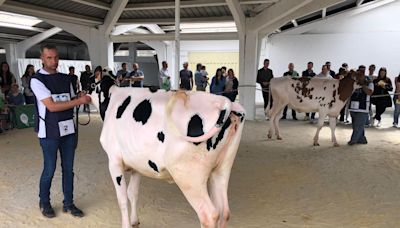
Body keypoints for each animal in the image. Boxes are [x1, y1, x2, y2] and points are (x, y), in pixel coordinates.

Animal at [89, 77, 245, 228]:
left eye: (91, 83)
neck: (111, 99)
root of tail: (223, 102)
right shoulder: (137, 165)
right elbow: (132, 193)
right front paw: (134, 221)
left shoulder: (114, 161)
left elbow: (121, 199)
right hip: (221, 169)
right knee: (224, 211)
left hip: (189, 177)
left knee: (209, 215)